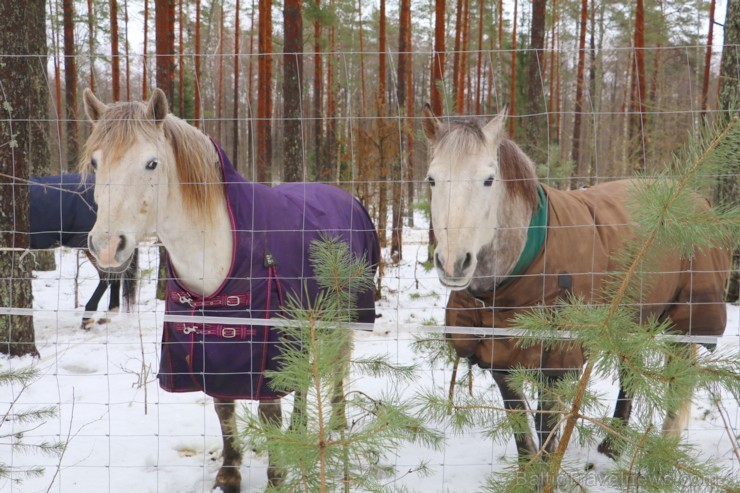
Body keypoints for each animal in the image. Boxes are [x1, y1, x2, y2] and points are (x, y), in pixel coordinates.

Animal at [422, 104, 728, 462]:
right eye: (431, 179)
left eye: (488, 179)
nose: (453, 263)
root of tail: (698, 201)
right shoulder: (501, 357)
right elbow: (521, 431)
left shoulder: (556, 361)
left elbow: (545, 432)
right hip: (630, 320)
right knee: (630, 372)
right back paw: (611, 449)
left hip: (686, 321)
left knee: (676, 385)